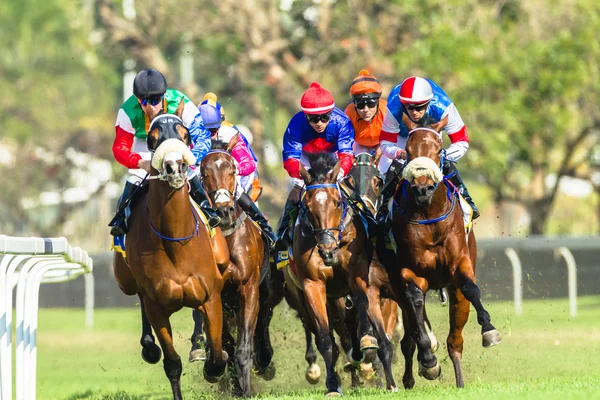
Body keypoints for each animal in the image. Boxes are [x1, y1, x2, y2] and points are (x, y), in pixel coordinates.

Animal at [111, 103, 229, 400]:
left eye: (185, 134)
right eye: (153, 138)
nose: (174, 166)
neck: (175, 241)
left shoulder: (211, 295)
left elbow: (217, 356)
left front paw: (212, 363)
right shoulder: (156, 306)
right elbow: (172, 364)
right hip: (127, 281)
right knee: (139, 299)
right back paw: (149, 346)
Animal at [190, 135, 272, 396]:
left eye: (233, 169)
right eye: (204, 172)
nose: (224, 211)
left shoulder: (249, 288)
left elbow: (244, 348)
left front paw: (245, 389)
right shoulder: (214, 295)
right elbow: (224, 341)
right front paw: (219, 372)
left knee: (263, 322)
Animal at [284, 152, 396, 396]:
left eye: (337, 201)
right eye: (308, 205)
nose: (326, 249)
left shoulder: (358, 273)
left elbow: (364, 308)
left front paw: (367, 342)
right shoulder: (313, 285)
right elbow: (326, 341)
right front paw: (333, 386)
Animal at [382, 114, 504, 390]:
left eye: (438, 149)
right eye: (408, 151)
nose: (423, 188)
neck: (430, 218)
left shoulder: (460, 264)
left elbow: (470, 288)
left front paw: (489, 330)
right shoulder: (411, 272)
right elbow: (416, 302)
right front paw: (428, 361)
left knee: (454, 342)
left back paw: (459, 383)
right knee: (410, 336)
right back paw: (415, 372)